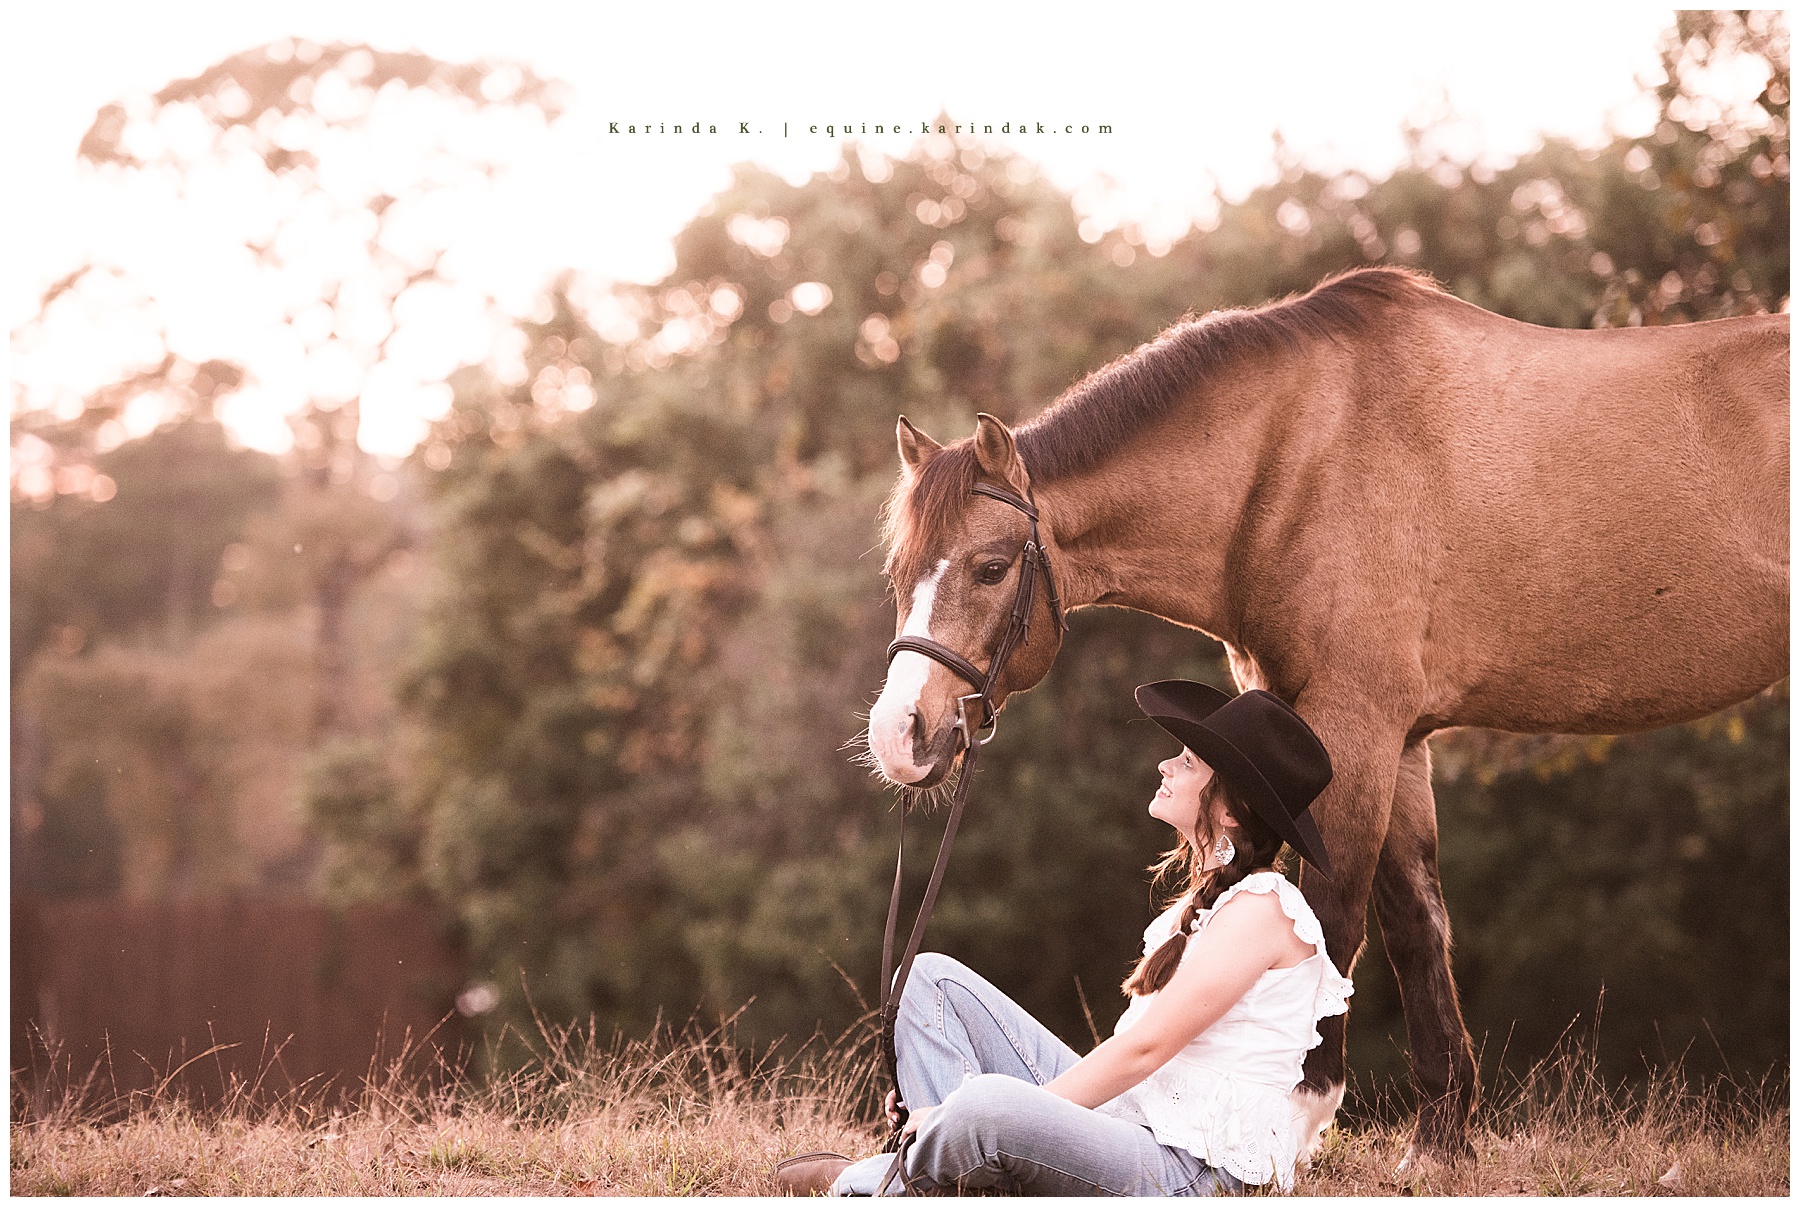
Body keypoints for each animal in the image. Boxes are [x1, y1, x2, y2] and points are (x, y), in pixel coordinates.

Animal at [863, 267, 1789, 1161]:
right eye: (898, 571)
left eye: (990, 568)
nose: (900, 735)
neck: (1297, 458)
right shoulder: (1399, 744)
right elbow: (1416, 925)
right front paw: (1440, 1146)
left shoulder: (1356, 726)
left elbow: (1332, 915)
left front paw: (1302, 1119)